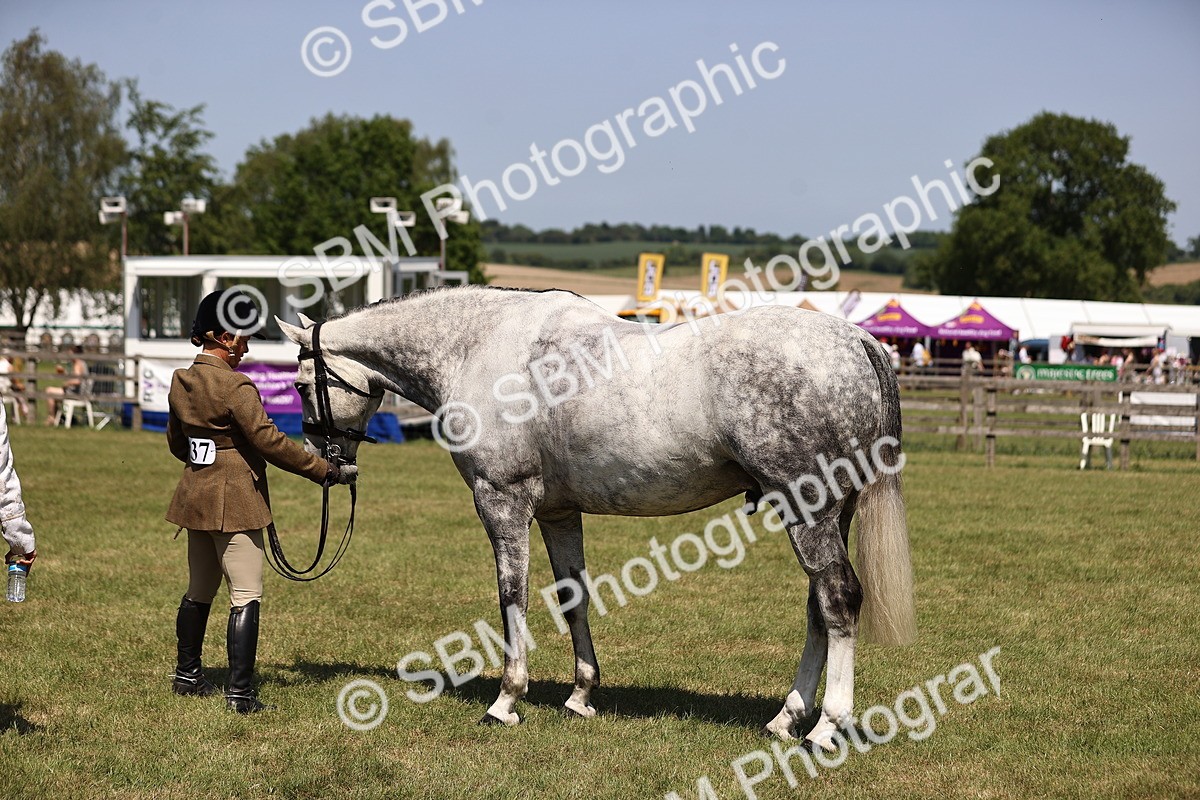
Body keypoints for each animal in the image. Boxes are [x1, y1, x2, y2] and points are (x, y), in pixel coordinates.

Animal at [277, 285, 915, 748]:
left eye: (303, 386)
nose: (329, 462)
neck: (478, 347)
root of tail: (856, 339)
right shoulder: (559, 514)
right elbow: (572, 595)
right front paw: (581, 696)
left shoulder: (501, 501)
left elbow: (512, 595)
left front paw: (506, 701)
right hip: (829, 511)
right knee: (819, 607)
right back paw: (787, 718)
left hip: (808, 508)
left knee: (838, 599)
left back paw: (827, 726)